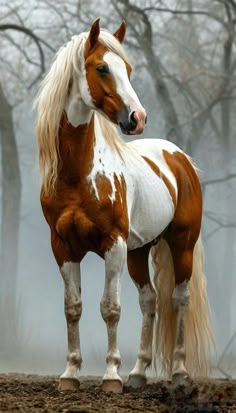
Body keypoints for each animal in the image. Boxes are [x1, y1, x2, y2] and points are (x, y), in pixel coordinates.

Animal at [34, 18, 214, 392]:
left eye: (128, 69)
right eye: (102, 68)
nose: (138, 117)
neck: (78, 174)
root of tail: (179, 159)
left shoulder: (113, 245)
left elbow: (110, 308)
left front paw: (110, 377)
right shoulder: (63, 247)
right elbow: (73, 307)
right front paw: (70, 375)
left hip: (181, 245)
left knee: (179, 300)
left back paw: (178, 373)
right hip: (139, 251)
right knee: (150, 302)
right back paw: (138, 373)